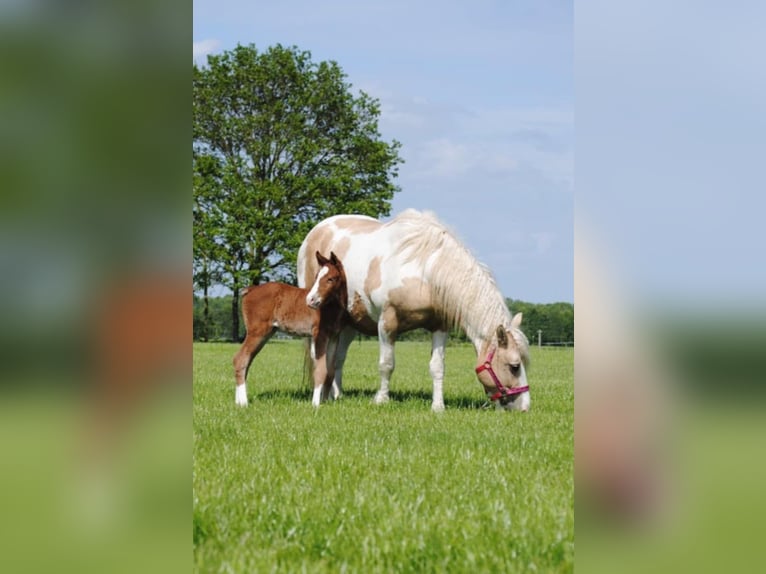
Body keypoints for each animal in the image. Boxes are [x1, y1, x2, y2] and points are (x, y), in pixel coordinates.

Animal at [233, 251, 348, 407]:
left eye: (331, 279)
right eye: (316, 277)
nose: (310, 300)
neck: (331, 307)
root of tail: (251, 289)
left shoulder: (334, 336)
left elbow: (330, 371)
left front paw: (325, 401)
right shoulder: (320, 335)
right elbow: (320, 370)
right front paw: (315, 404)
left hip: (265, 334)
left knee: (246, 361)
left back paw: (238, 401)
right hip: (257, 332)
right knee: (240, 359)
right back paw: (244, 403)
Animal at [297, 209, 530, 412]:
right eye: (514, 366)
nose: (524, 408)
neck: (423, 271)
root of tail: (316, 231)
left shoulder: (439, 326)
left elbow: (437, 367)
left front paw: (438, 406)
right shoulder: (387, 322)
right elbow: (387, 364)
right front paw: (381, 400)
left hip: (348, 324)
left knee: (338, 358)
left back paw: (336, 395)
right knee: (319, 356)